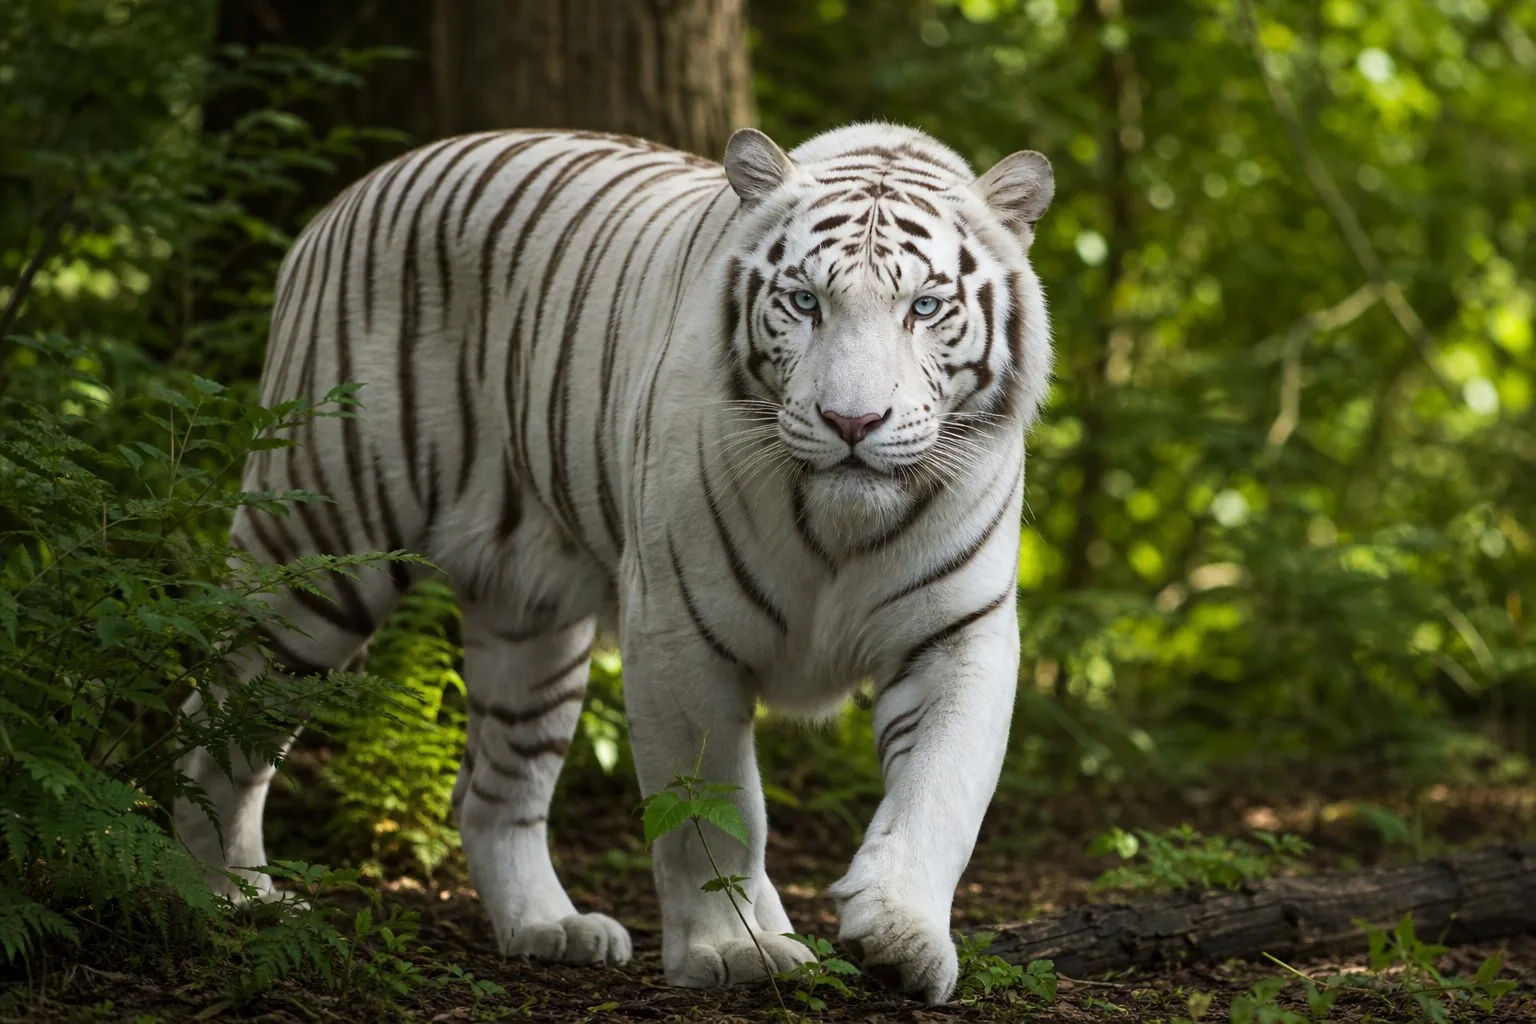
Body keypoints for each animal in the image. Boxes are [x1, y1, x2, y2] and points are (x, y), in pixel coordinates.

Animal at [173, 121, 1054, 1004]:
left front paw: (901, 938)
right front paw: (731, 949)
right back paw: (223, 893)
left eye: (925, 307)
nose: (852, 422)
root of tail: (345, 200)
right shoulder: (678, 627)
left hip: (532, 623)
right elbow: (712, 808)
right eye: (806, 301)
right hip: (317, 550)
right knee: (216, 720)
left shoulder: (959, 634)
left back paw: (547, 927)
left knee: (491, 791)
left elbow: (940, 794)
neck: (840, 527)